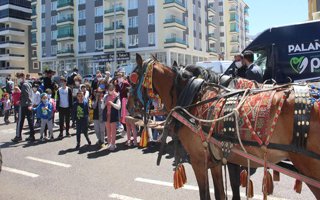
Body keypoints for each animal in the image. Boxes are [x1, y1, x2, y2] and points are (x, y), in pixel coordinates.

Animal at [127, 54, 320, 199]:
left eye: (132, 78)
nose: (129, 106)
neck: (195, 98)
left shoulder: (199, 161)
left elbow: (207, 194)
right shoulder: (217, 160)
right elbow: (222, 193)